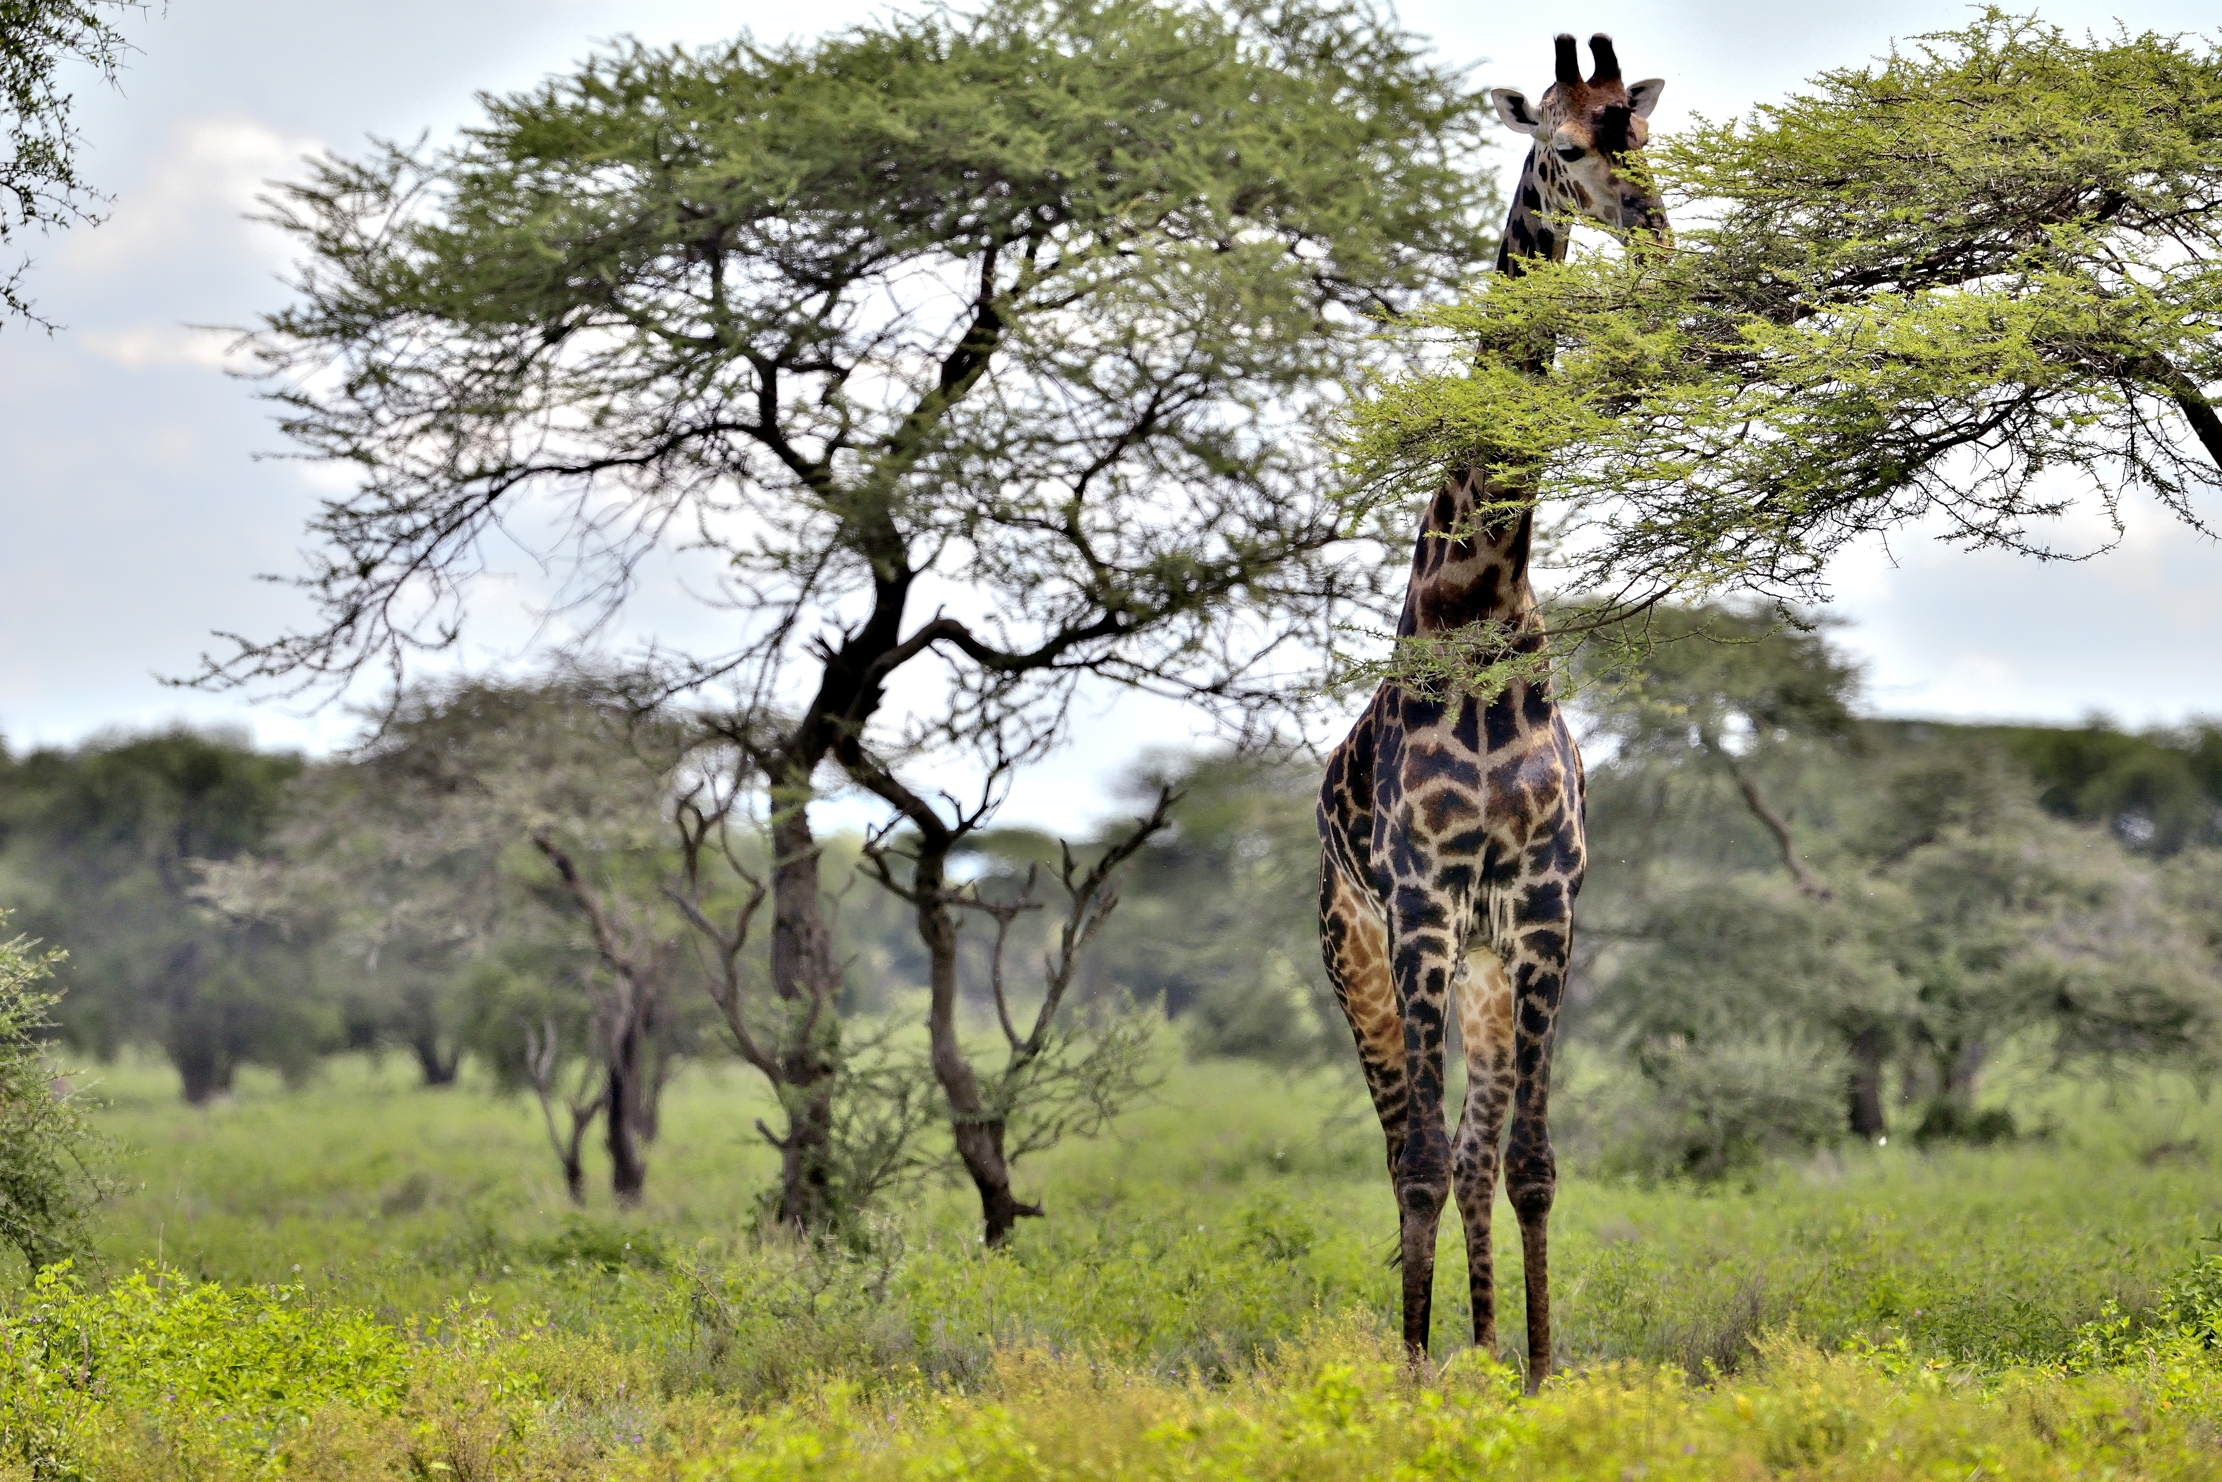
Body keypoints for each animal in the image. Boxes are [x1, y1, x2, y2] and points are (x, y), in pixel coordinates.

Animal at [1316, 32, 1666, 1389]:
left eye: (1643, 133)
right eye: (1561, 145)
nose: (1653, 230)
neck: (1478, 606)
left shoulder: (1542, 906)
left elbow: (1527, 1166)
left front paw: (1535, 1374)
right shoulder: (1416, 903)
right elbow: (1414, 1164)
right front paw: (1411, 1386)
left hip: (1478, 969)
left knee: (1470, 1153)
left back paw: (1473, 1344)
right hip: (1357, 956)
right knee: (1404, 1150)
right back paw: (1432, 1352)